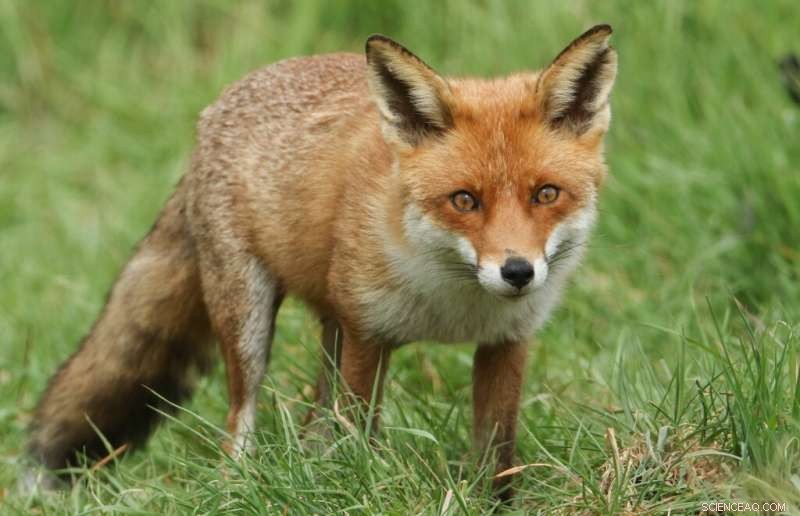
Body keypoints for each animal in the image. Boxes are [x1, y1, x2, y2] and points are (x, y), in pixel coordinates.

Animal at [25, 25, 617, 500]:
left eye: (546, 194)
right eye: (464, 200)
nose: (517, 271)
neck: (451, 301)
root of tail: (217, 106)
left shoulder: (505, 342)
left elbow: (497, 455)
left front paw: (495, 504)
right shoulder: (368, 334)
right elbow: (359, 435)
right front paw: (367, 489)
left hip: (331, 328)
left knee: (313, 421)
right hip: (250, 321)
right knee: (241, 421)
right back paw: (242, 485)